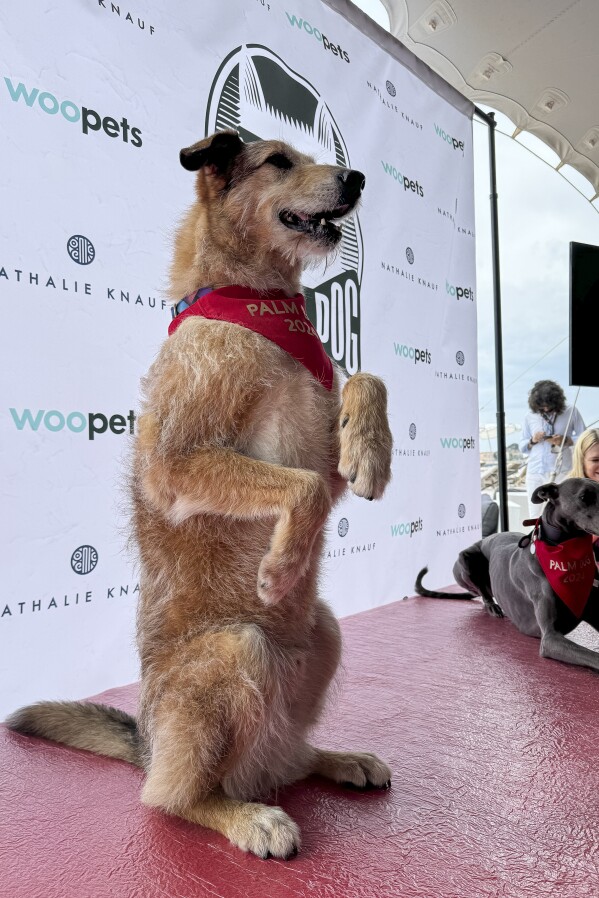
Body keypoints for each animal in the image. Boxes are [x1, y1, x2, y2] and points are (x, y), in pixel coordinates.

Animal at [9, 130, 396, 856]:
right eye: (278, 161)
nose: (356, 178)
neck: (255, 300)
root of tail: (148, 747)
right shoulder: (178, 464)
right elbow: (301, 486)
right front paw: (281, 565)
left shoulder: (321, 440)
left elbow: (367, 380)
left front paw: (371, 451)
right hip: (235, 649)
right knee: (175, 798)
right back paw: (246, 817)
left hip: (324, 633)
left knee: (286, 758)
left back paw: (336, 759)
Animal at [418, 480, 599, 668]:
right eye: (584, 497)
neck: (564, 553)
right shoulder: (551, 638)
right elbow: (594, 657)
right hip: (465, 558)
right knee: (483, 593)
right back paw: (492, 607)